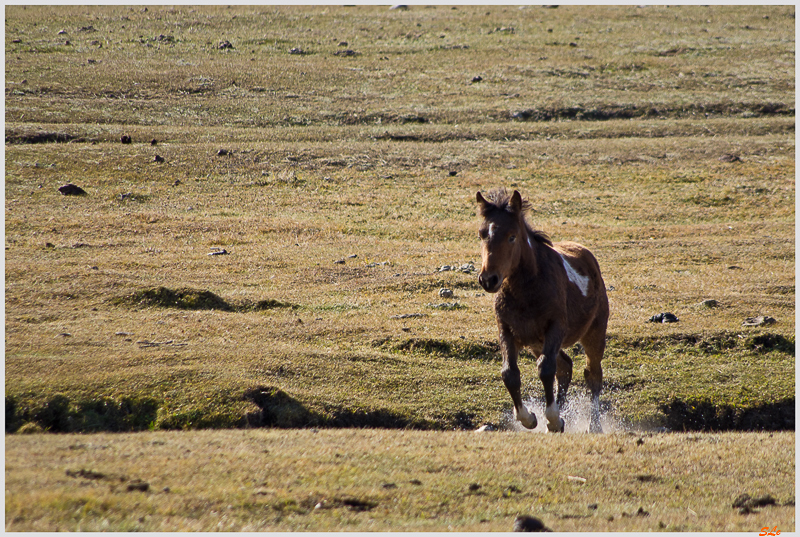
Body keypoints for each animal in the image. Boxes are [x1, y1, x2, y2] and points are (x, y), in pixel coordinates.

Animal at [476, 188, 612, 432]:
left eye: (512, 236)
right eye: (482, 235)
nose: (488, 279)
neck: (526, 292)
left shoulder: (555, 328)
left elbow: (546, 369)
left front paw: (553, 418)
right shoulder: (507, 331)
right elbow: (510, 373)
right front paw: (529, 418)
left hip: (594, 333)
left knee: (593, 374)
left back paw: (593, 426)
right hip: (536, 343)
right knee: (565, 367)